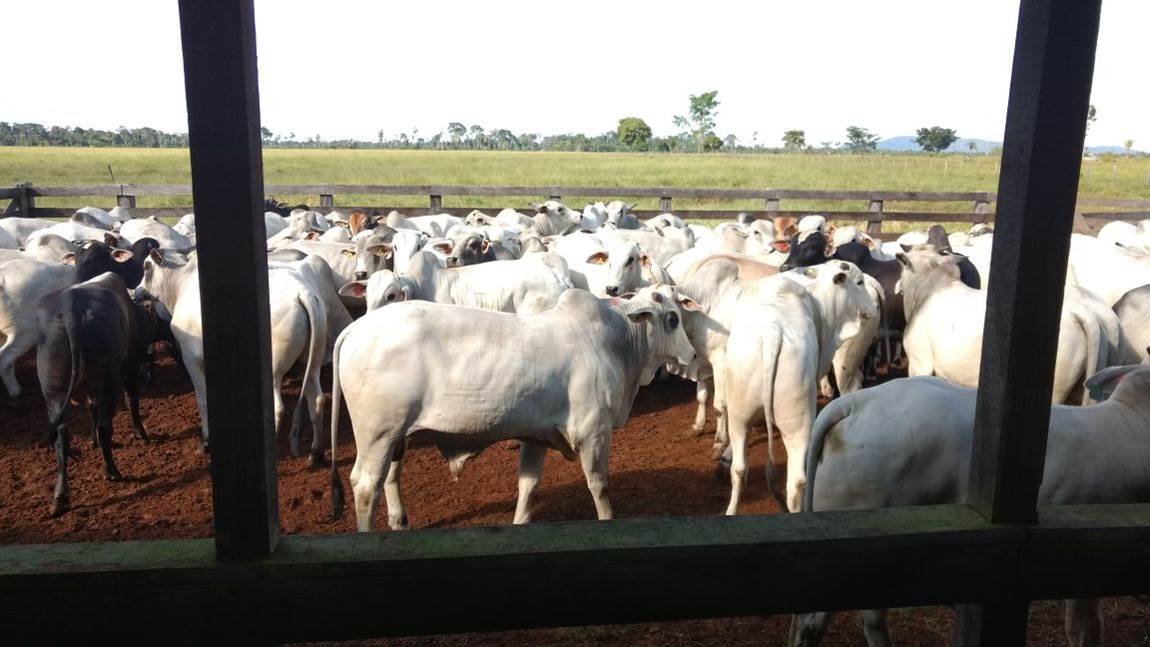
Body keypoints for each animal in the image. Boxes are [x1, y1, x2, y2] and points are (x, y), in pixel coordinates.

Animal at [36, 272, 157, 517]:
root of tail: (70, 309)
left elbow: (91, 408)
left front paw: (92, 441)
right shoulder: (129, 366)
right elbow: (131, 400)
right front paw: (140, 433)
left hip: (54, 394)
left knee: (62, 436)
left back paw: (60, 497)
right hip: (106, 383)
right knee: (105, 425)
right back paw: (111, 471)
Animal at [328, 287, 694, 530]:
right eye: (673, 318)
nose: (691, 354)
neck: (615, 341)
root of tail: (354, 328)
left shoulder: (537, 436)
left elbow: (528, 486)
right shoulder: (594, 433)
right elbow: (599, 486)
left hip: (396, 436)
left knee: (391, 476)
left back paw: (400, 523)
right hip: (377, 434)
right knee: (366, 486)